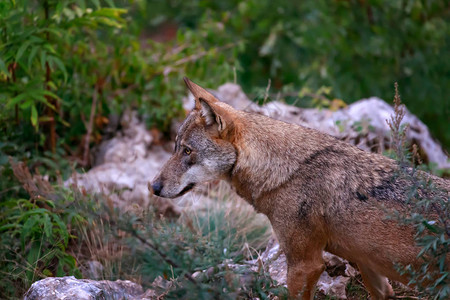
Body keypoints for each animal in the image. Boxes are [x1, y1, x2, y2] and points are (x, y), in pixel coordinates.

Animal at [152, 78, 450, 300]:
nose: (153, 186)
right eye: (176, 148)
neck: (284, 172)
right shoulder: (367, 265)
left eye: (187, 151)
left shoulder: (305, 264)